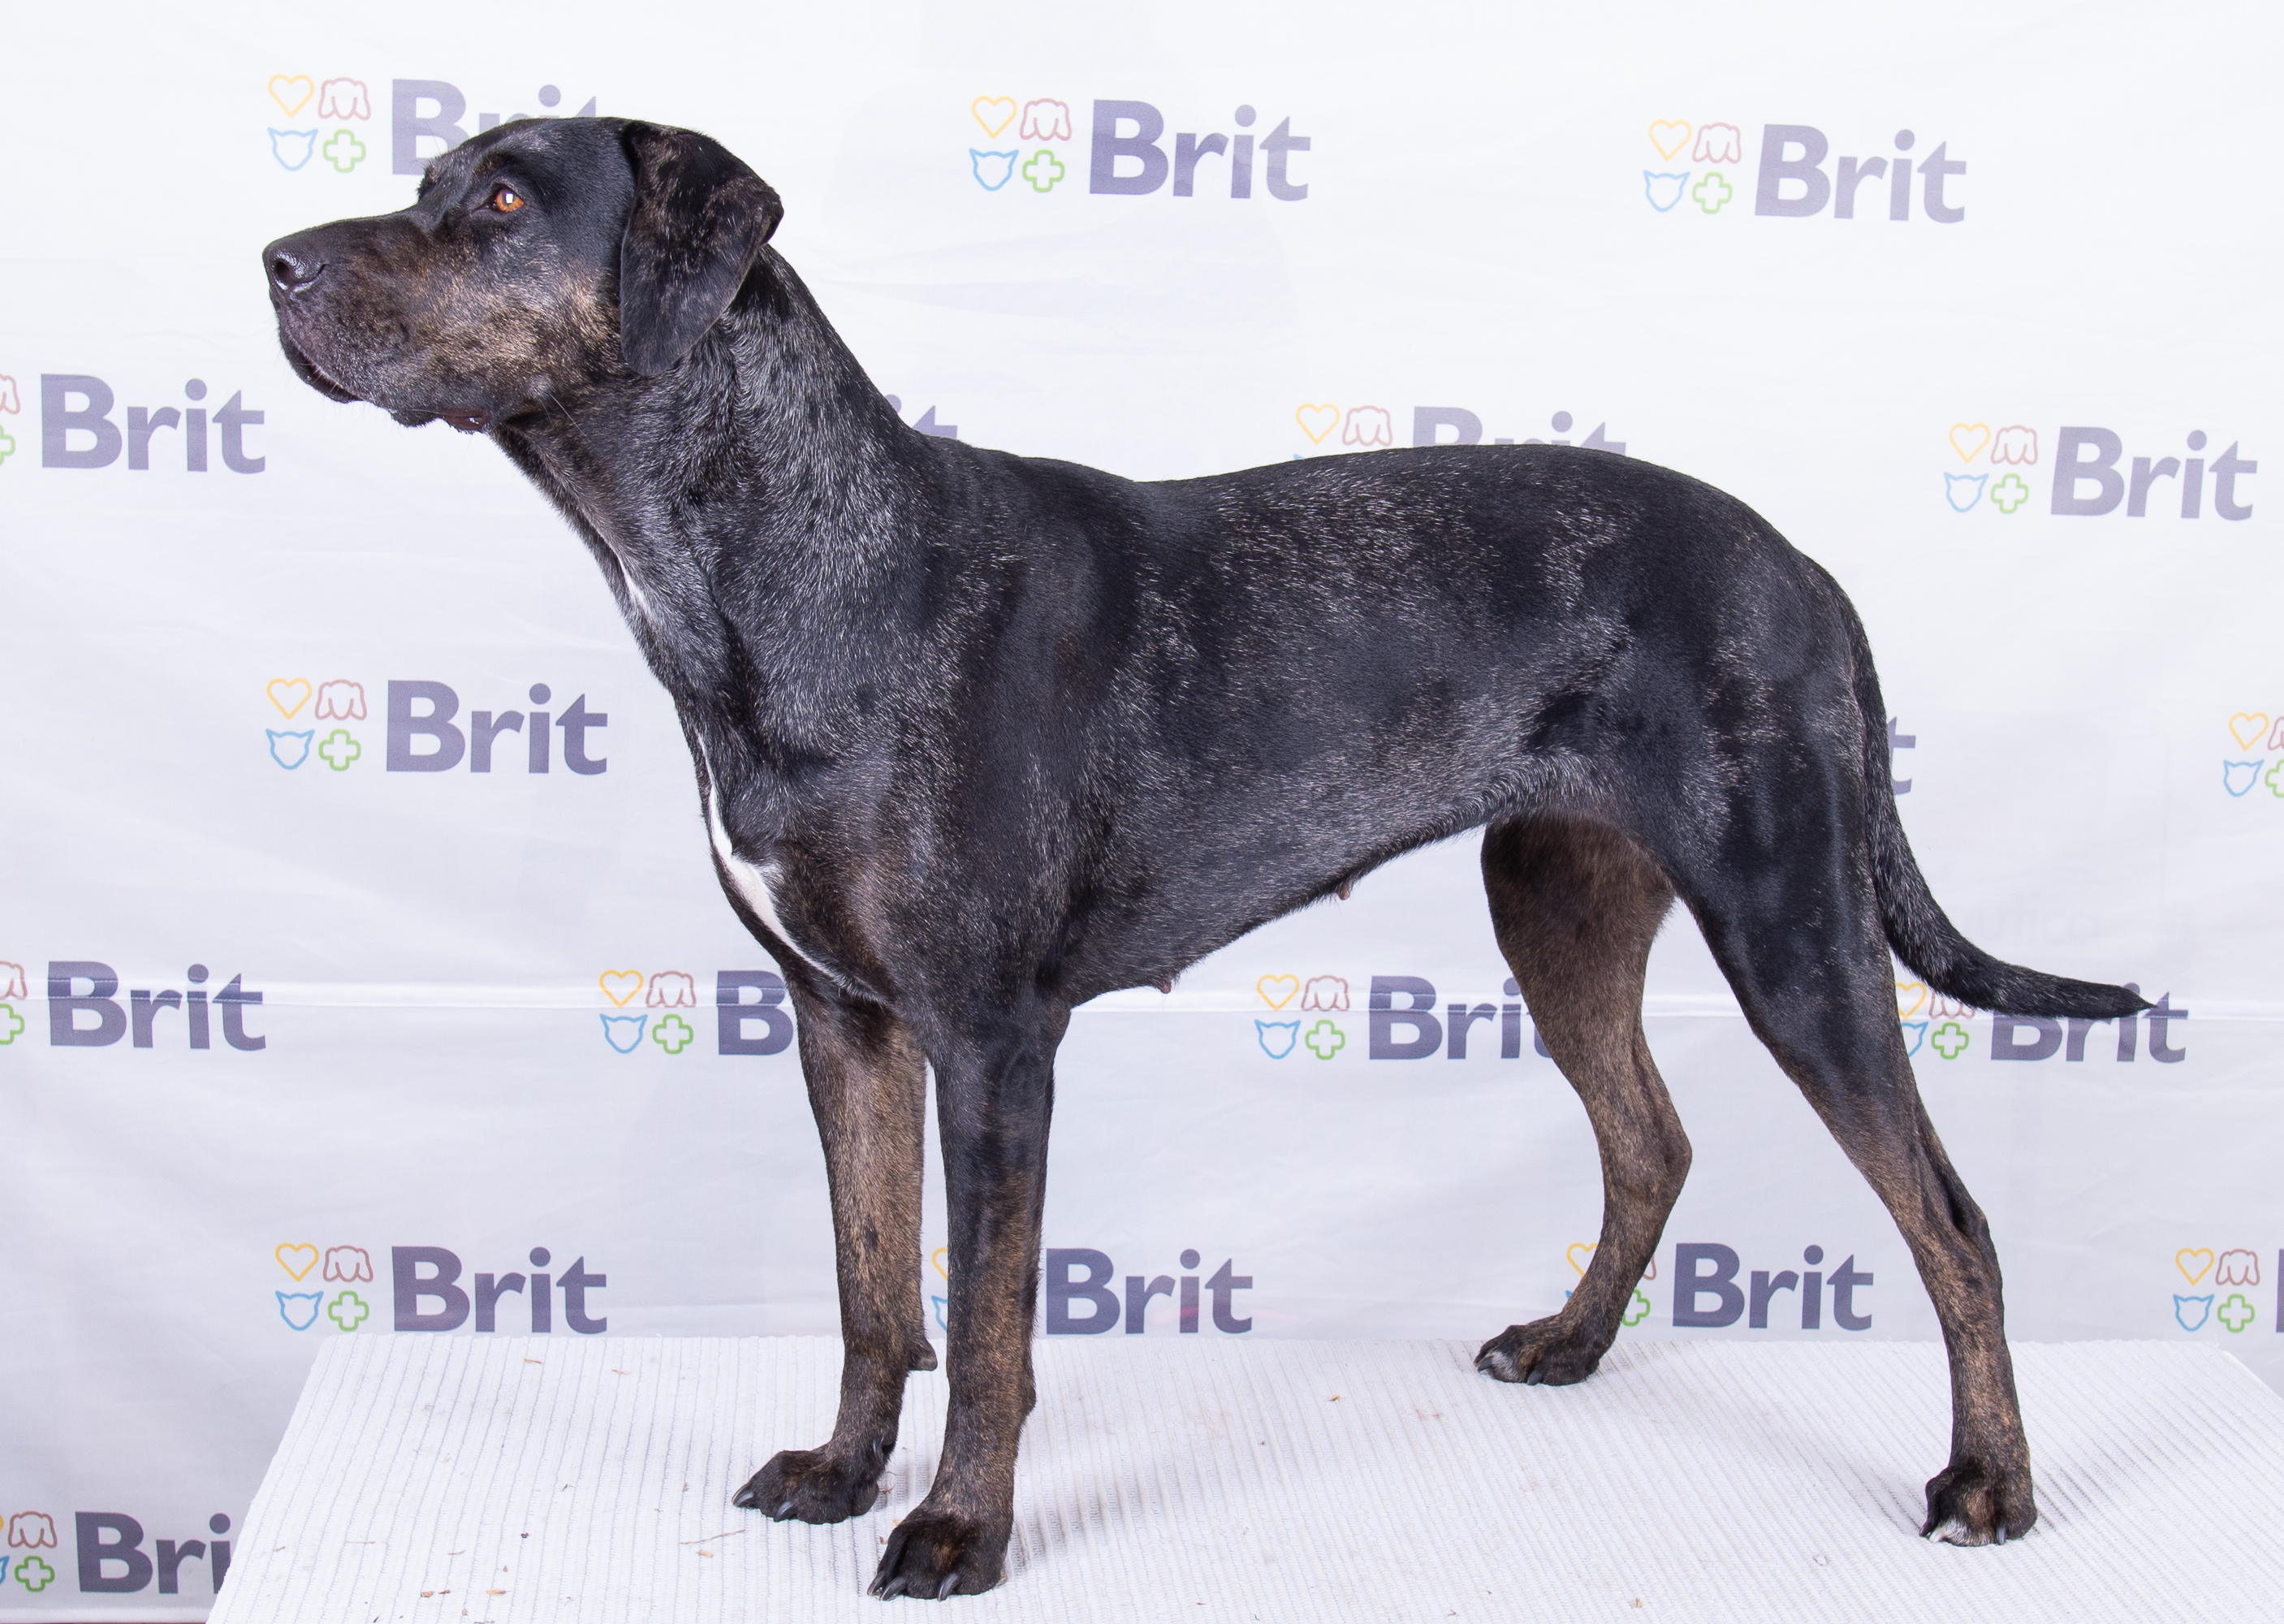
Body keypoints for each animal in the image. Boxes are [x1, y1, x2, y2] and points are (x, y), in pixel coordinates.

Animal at [262, 120, 2137, 1599]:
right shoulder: (841, 1020)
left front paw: (955, 1530)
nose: (273, 261)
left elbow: (988, 1323)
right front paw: (844, 1472)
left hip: (1791, 928)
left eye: (505, 200)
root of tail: (1802, 567)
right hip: (1554, 902)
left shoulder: (989, 1039)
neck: (786, 557)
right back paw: (1569, 1341)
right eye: (426, 185)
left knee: (1947, 1218)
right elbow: (872, 1287)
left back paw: (1989, 1483)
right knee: (1648, 1142)